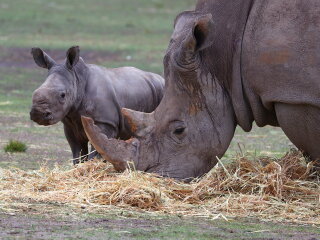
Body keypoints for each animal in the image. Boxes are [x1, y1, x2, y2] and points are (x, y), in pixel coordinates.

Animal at [29, 46, 165, 164]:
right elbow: (77, 153)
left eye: (62, 95)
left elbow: (97, 151)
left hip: (161, 90)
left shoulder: (104, 122)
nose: (37, 114)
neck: (78, 80)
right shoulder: (70, 123)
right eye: (35, 91)